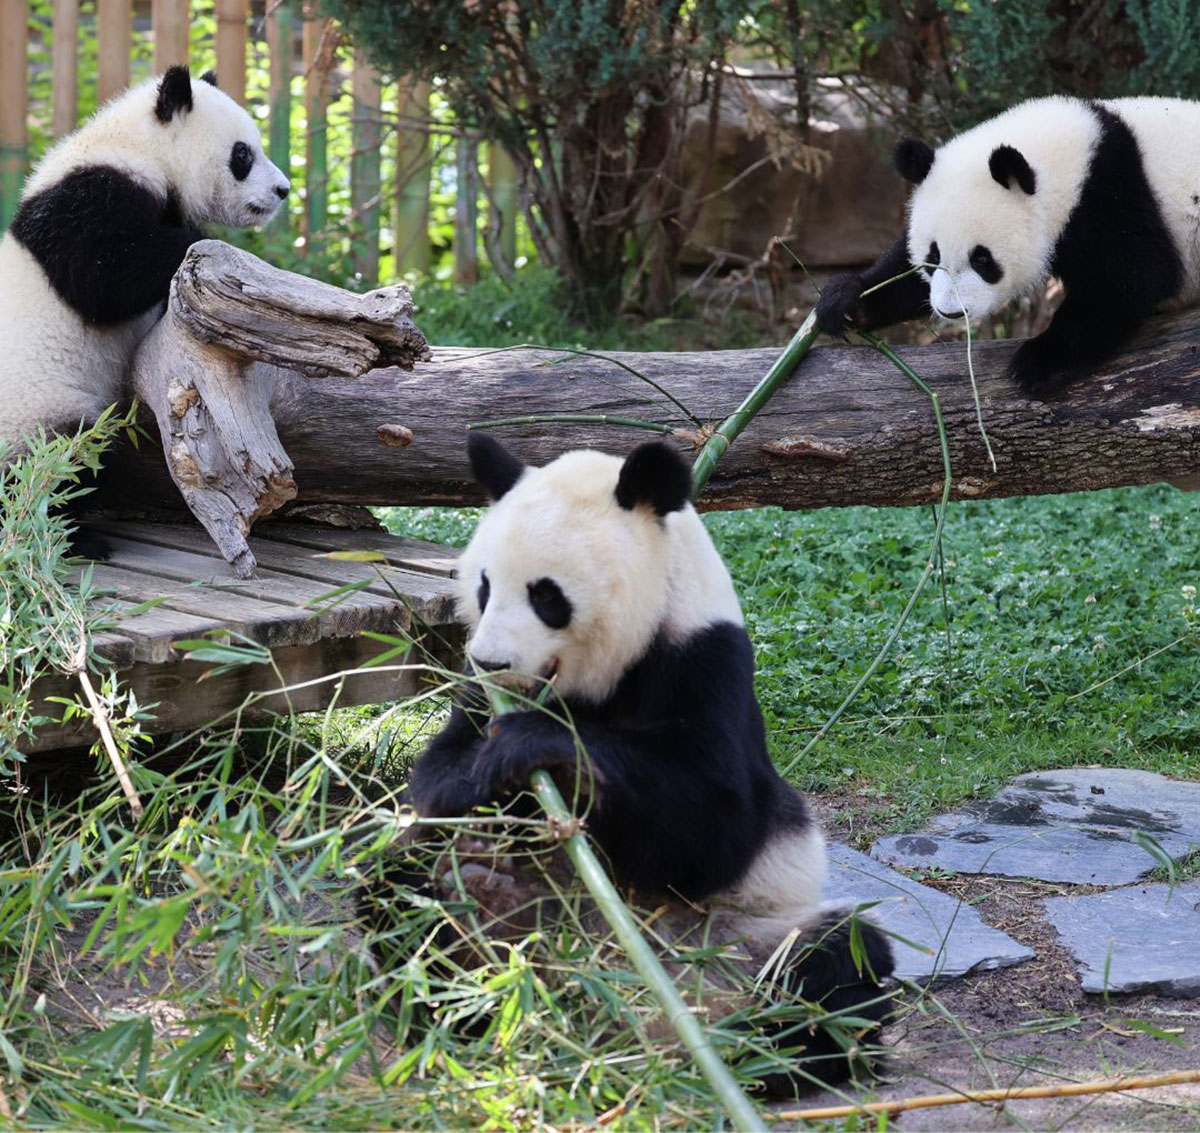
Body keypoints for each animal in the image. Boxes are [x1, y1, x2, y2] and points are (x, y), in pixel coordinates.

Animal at [0, 65, 289, 459]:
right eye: (242, 154)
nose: (283, 190)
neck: (141, 148)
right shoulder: (86, 201)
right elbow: (104, 280)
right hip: (38, 408)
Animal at [364, 433, 894, 1092]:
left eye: (546, 596)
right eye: (484, 587)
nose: (491, 662)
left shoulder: (705, 660)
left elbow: (715, 824)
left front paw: (538, 748)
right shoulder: (473, 697)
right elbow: (435, 782)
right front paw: (489, 776)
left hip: (744, 940)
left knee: (840, 966)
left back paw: (767, 1053)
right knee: (400, 895)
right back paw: (477, 941)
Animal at [815, 96, 1200, 396]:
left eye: (982, 259)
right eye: (932, 257)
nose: (951, 312)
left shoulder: (1109, 197)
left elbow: (1136, 277)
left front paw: (1039, 362)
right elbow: (902, 279)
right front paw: (847, 300)